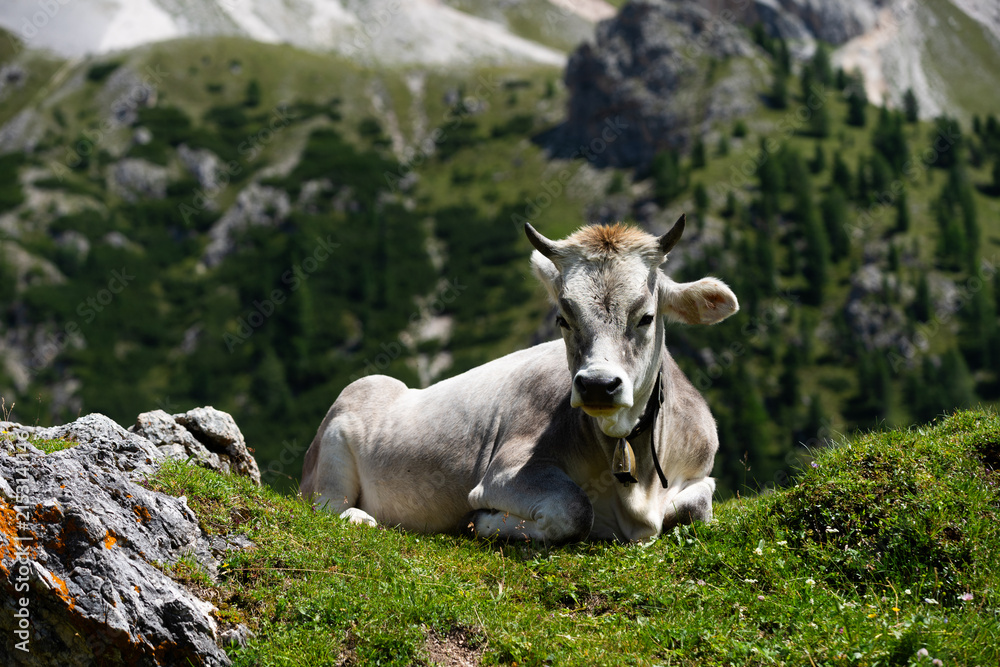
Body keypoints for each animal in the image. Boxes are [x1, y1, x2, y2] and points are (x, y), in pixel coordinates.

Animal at [299, 216, 739, 544]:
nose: (597, 385)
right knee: (326, 506)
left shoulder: (699, 472)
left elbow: (700, 505)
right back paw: (359, 518)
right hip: (335, 448)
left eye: (646, 316)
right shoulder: (504, 473)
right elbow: (574, 509)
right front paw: (486, 523)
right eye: (563, 318)